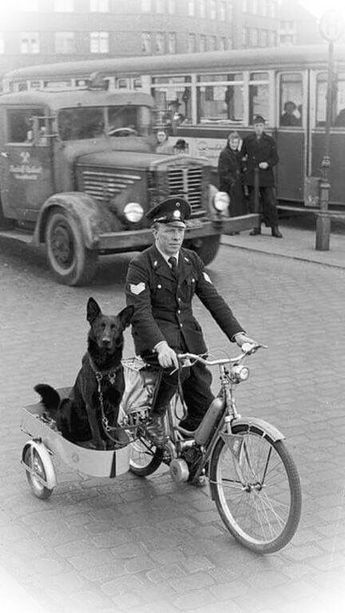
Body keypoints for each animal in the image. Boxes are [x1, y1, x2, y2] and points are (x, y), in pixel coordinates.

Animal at [35, 298, 134, 450]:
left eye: (115, 327)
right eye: (100, 326)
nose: (106, 341)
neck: (104, 370)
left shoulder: (115, 405)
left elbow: (110, 436)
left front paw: (111, 447)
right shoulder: (91, 407)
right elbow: (98, 437)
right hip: (67, 404)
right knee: (67, 435)